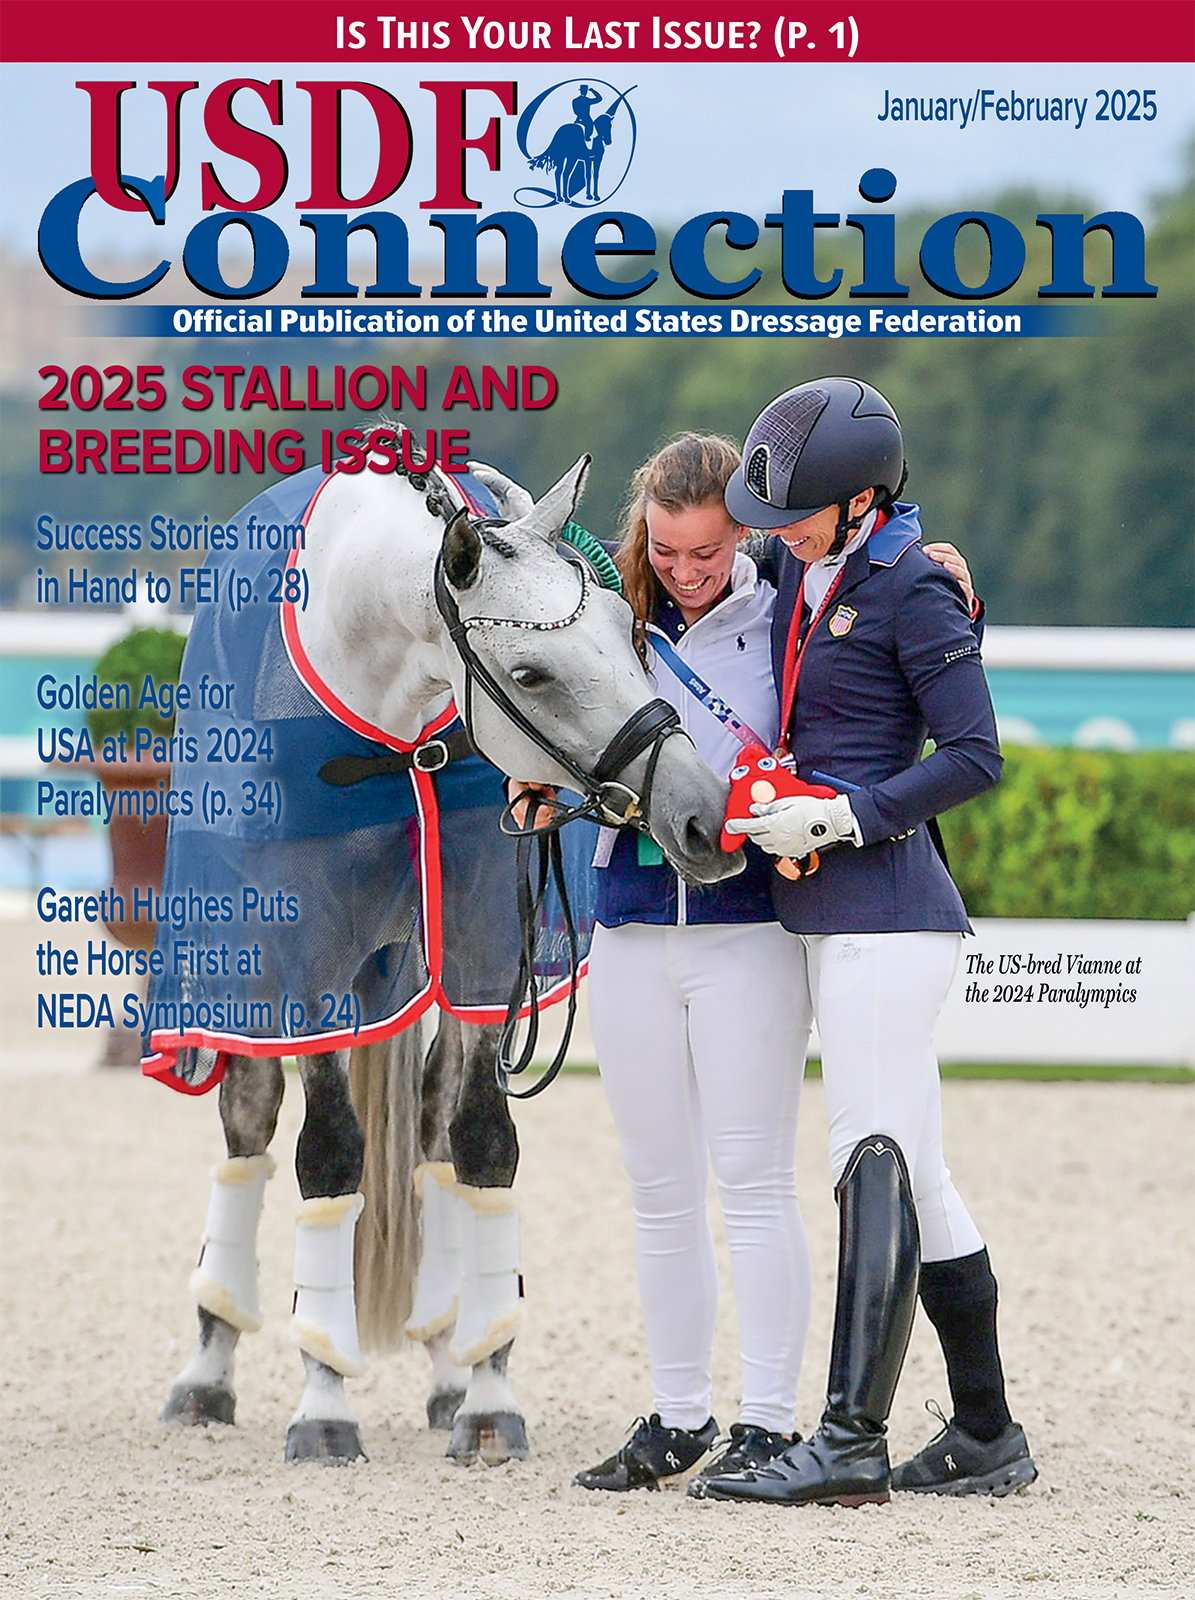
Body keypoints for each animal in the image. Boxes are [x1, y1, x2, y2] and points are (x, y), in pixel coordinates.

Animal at [148, 440, 739, 1466]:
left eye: (630, 631)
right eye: (532, 673)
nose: (701, 816)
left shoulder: (484, 951)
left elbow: (481, 1143)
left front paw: (488, 1396)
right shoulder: (311, 970)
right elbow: (328, 1158)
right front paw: (324, 1404)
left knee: (426, 1132)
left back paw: (446, 1361)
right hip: (254, 969)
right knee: (248, 1122)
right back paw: (208, 1369)